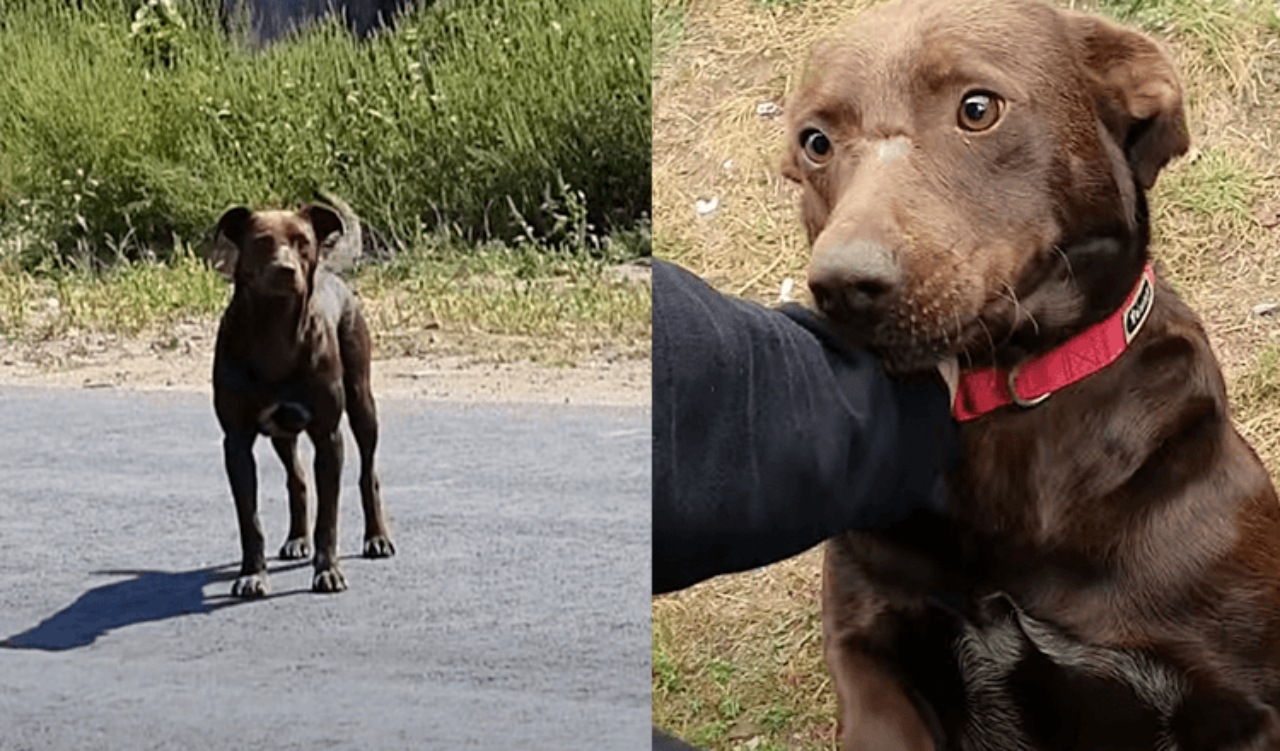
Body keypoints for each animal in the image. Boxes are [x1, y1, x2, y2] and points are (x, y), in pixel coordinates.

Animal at [209, 200, 394, 598]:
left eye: (302, 241)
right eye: (261, 241)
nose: (285, 269)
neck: (275, 329)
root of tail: (330, 273)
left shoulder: (328, 437)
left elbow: (329, 518)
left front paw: (328, 571)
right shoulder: (236, 442)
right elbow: (250, 519)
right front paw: (252, 574)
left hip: (362, 402)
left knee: (368, 473)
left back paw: (376, 538)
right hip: (282, 431)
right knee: (297, 479)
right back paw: (297, 539)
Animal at [783, 1, 1280, 751]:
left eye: (978, 108)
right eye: (815, 141)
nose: (843, 286)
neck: (1011, 393)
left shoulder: (1244, 705)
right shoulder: (867, 648)